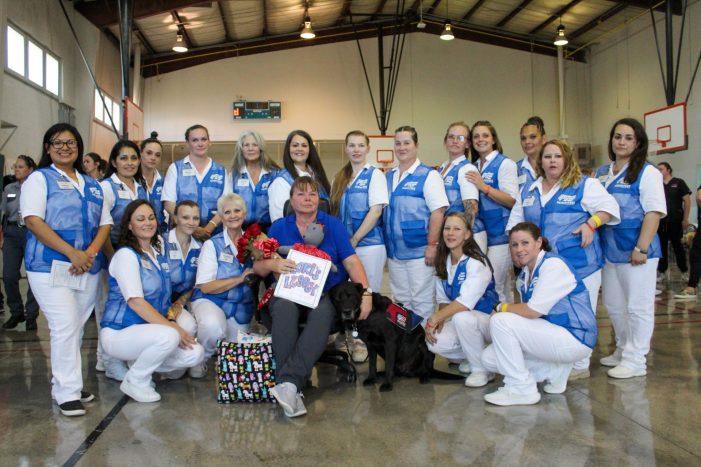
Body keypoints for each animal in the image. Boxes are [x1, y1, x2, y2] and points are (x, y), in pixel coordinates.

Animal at [330, 284, 464, 394]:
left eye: (351, 296)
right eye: (337, 299)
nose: (346, 311)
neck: (370, 314)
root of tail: (407, 371)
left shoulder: (390, 342)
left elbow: (389, 365)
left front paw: (387, 384)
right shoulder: (370, 345)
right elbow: (372, 364)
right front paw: (372, 378)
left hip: (424, 345)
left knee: (427, 369)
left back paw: (425, 376)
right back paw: (381, 374)